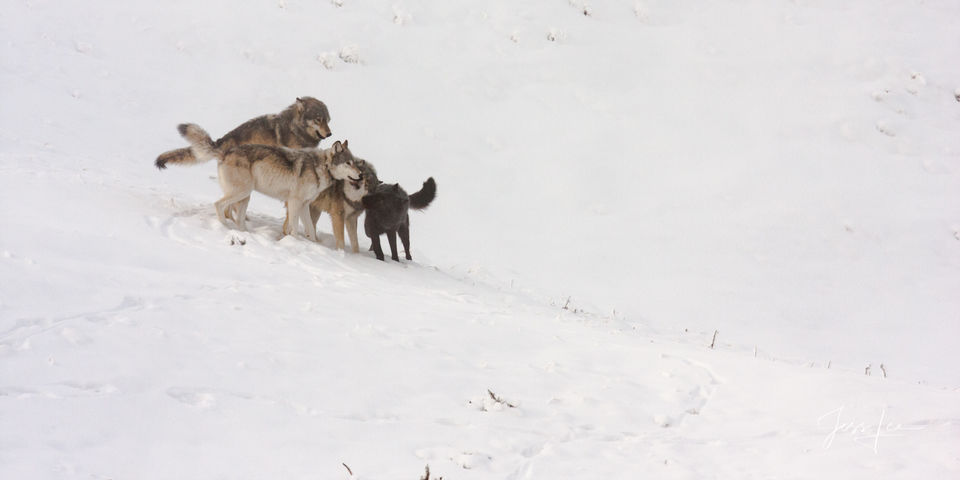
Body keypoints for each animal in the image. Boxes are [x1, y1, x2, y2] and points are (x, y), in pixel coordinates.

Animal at [177, 123, 361, 241]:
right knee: (218, 205)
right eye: (348, 163)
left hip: (245, 197)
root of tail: (225, 151)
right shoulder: (294, 203)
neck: (322, 167)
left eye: (355, 162)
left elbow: (310, 230)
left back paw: (245, 234)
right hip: (241, 193)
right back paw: (225, 228)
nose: (360, 175)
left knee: (238, 219)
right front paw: (294, 242)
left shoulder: (304, 205)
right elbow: (294, 228)